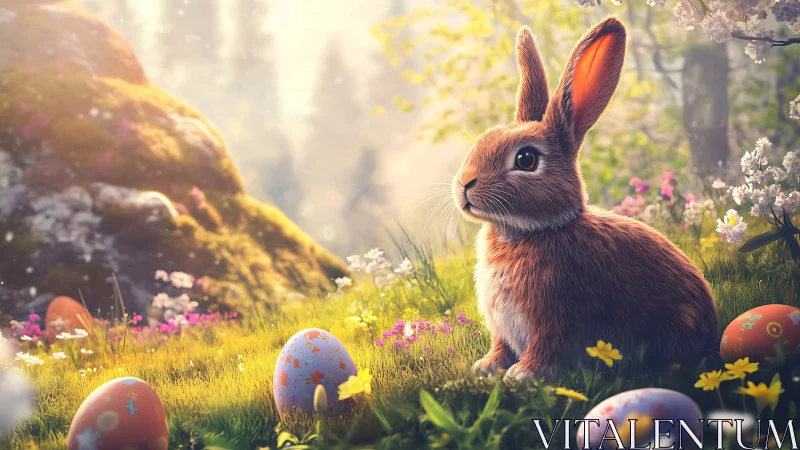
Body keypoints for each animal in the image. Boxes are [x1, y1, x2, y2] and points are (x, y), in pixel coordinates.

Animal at [451, 17, 718, 381]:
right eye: (483, 139)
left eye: (526, 160)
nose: (464, 184)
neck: (528, 231)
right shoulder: (504, 329)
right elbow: (500, 346)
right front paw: (486, 367)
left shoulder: (555, 317)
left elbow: (546, 349)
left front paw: (522, 375)